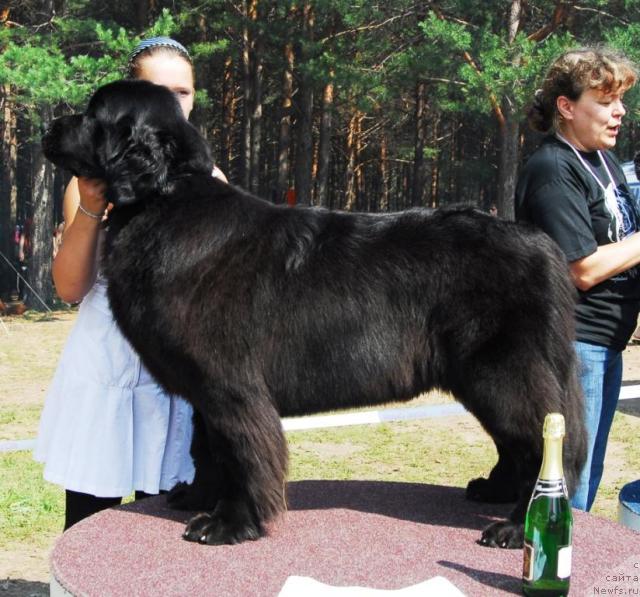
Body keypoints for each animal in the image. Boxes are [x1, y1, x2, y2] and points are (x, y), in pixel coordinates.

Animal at [42, 80, 588, 548]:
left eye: (93, 114)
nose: (49, 125)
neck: (164, 201)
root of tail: (541, 244)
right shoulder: (206, 390)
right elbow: (207, 448)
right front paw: (196, 497)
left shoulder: (230, 385)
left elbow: (239, 453)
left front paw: (229, 523)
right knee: (517, 443)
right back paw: (495, 492)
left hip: (502, 372)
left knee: (543, 441)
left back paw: (520, 526)